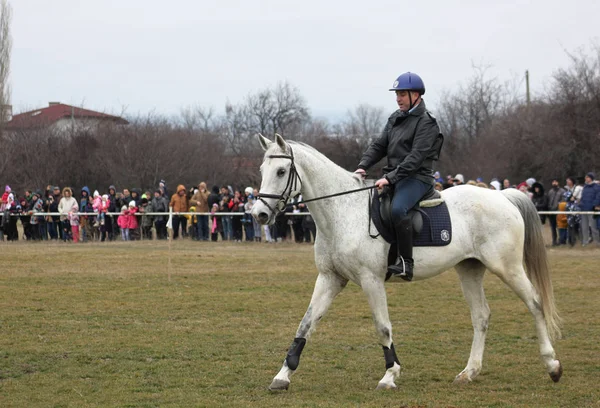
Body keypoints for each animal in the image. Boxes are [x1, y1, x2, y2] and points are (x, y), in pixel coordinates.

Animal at [253, 135, 564, 392]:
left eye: (281, 171)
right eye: (262, 171)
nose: (259, 214)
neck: (343, 212)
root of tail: (502, 196)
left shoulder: (371, 280)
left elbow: (382, 327)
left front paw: (390, 375)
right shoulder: (330, 278)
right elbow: (305, 324)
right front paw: (282, 376)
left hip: (507, 267)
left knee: (535, 303)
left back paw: (552, 365)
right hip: (470, 269)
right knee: (481, 316)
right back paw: (469, 372)